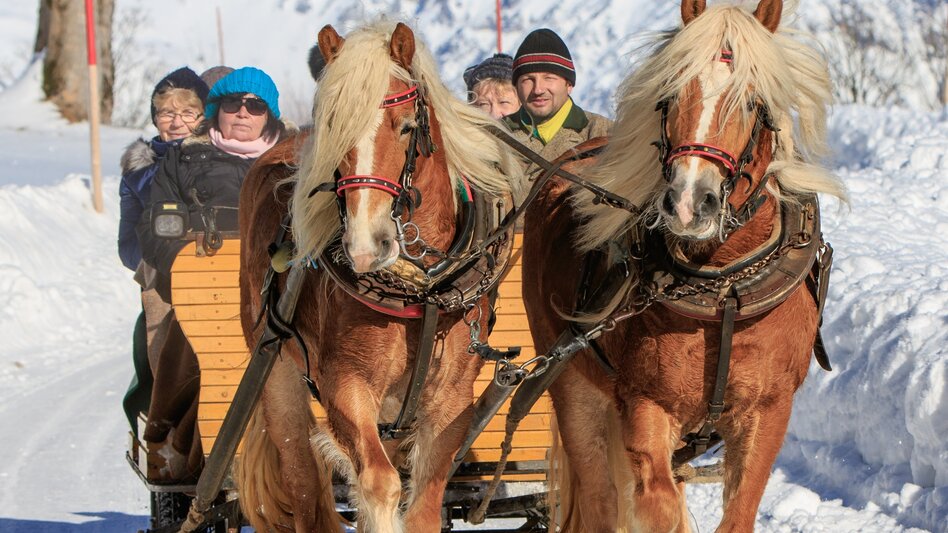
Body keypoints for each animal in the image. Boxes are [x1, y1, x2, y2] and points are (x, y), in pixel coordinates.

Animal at [235, 21, 520, 533]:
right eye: (331, 127)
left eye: (406, 125)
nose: (366, 245)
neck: (423, 291)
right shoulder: (345, 384)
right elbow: (380, 483)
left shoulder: (451, 402)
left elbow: (424, 503)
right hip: (277, 373)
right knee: (304, 483)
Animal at [522, 1, 848, 531]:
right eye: (671, 94)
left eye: (751, 101)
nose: (690, 202)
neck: (725, 288)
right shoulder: (645, 404)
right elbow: (658, 502)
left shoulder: (769, 411)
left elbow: (736, 512)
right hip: (570, 383)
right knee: (600, 499)